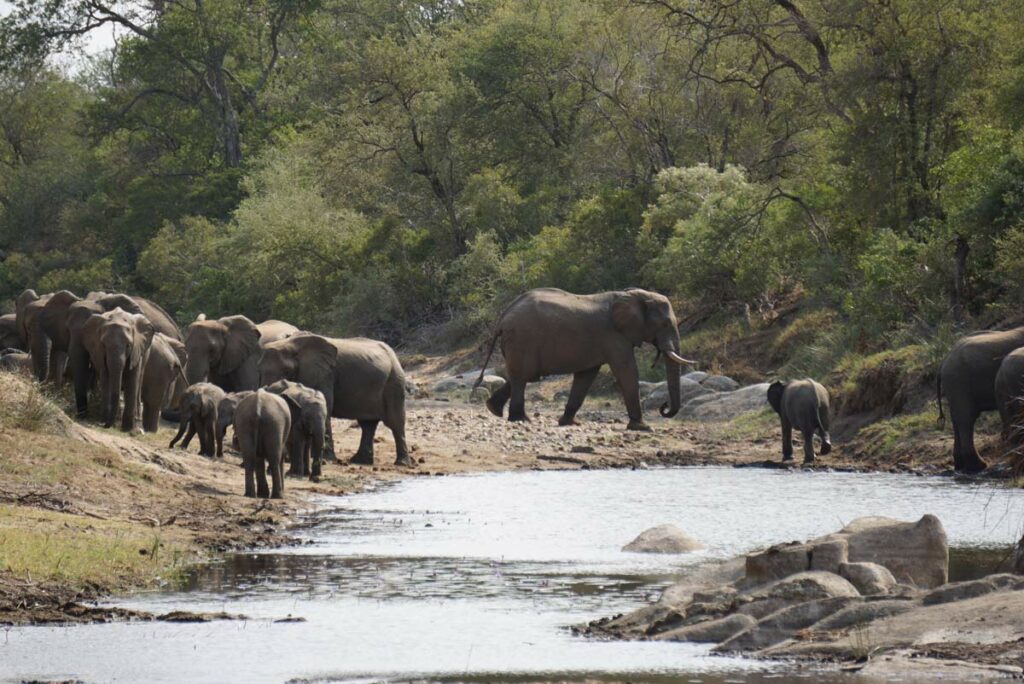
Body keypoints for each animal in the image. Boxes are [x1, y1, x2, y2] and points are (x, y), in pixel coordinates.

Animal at [260, 333, 411, 466]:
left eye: (286, 371)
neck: (290, 344)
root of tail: (393, 353)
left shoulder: (323, 374)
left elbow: (327, 405)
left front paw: (326, 460)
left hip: (394, 380)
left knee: (395, 423)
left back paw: (401, 463)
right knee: (367, 424)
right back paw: (360, 461)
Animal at [473, 290, 696, 430]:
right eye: (665, 324)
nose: (664, 407)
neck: (633, 294)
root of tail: (503, 317)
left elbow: (586, 376)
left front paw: (569, 423)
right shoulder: (614, 336)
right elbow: (626, 370)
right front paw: (643, 427)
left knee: (522, 375)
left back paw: (494, 410)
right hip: (523, 338)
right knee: (522, 376)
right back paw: (521, 419)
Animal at [937, 325, 1024, 471]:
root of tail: (944, 360)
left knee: (957, 420)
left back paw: (961, 465)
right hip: (959, 382)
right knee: (966, 419)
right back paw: (978, 466)